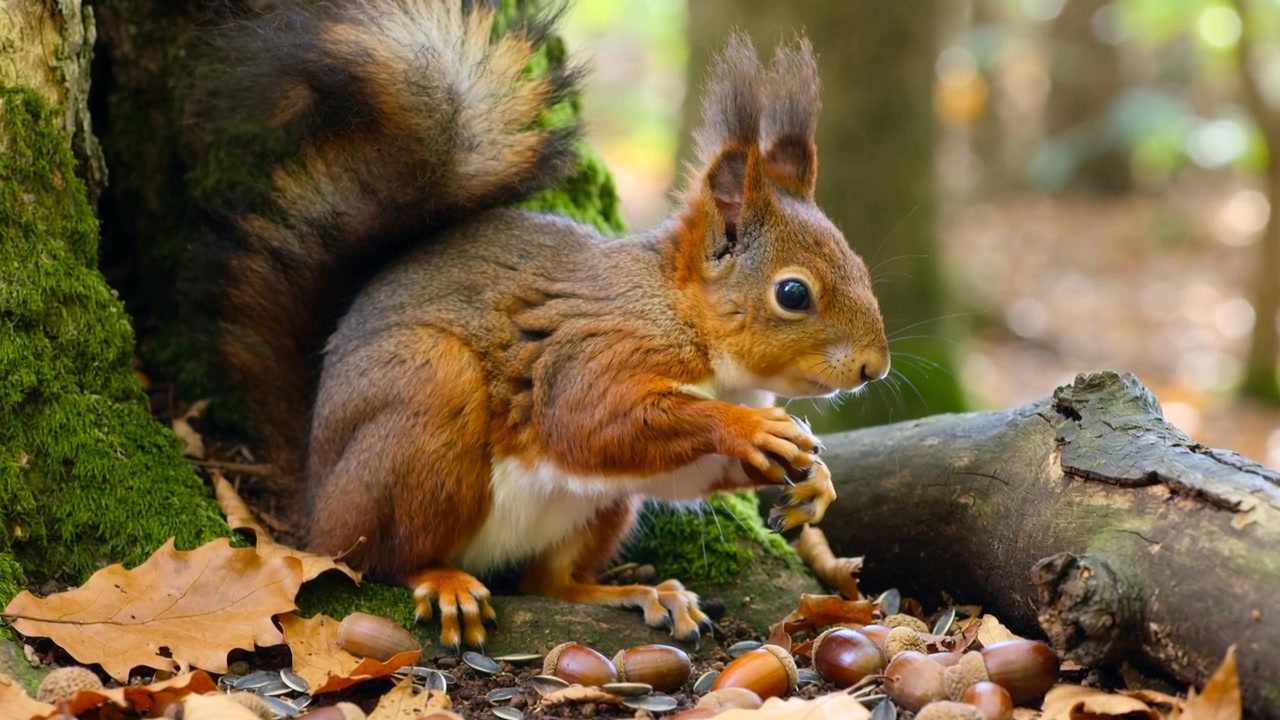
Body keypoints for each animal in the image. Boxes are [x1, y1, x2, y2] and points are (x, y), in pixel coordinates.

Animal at [207, 0, 890, 648]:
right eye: (793, 294)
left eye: (858, 263)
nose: (874, 367)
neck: (686, 319)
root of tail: (314, 496)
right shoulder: (600, 346)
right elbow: (585, 418)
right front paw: (749, 430)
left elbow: (685, 473)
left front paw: (816, 480)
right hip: (421, 407)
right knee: (378, 558)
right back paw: (442, 580)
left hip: (598, 507)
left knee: (549, 582)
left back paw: (639, 594)